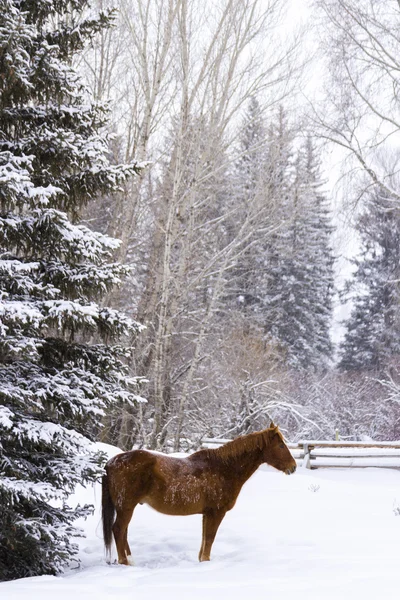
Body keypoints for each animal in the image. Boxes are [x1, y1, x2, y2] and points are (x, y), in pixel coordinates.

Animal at [102, 420, 296, 564]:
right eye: (280, 446)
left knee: (124, 532)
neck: (224, 468)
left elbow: (204, 539)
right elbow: (209, 538)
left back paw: (130, 560)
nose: (293, 467)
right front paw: (206, 562)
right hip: (126, 507)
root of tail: (111, 462)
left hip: (126, 507)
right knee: (118, 530)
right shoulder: (216, 512)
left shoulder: (206, 513)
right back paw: (125, 562)